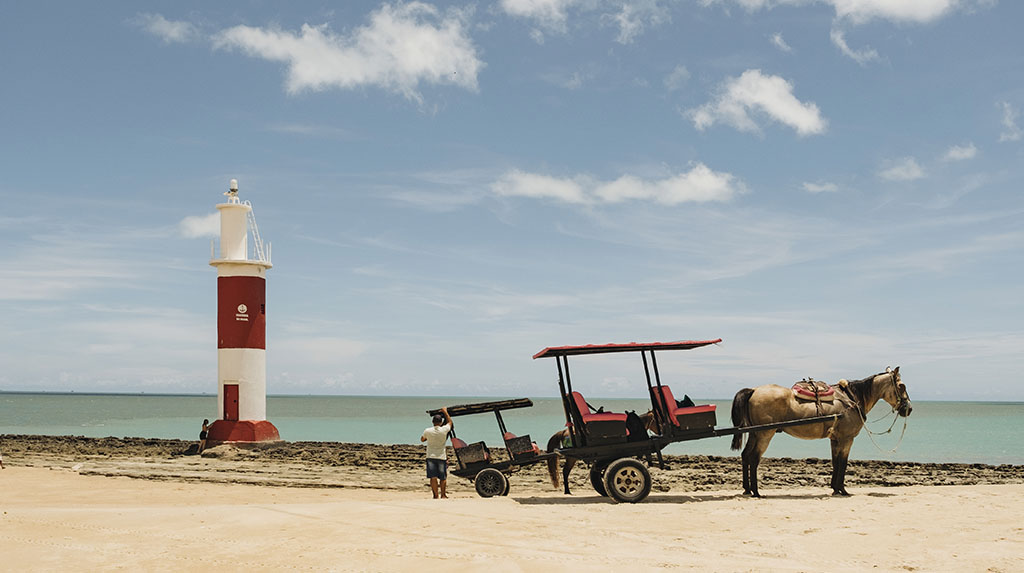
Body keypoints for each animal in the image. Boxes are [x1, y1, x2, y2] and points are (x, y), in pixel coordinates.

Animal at [729, 366, 913, 497]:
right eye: (901, 385)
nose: (909, 408)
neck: (851, 399)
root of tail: (754, 390)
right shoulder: (847, 439)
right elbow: (843, 462)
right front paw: (843, 490)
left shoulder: (835, 439)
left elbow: (836, 462)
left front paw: (835, 488)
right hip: (765, 434)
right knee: (754, 458)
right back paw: (756, 492)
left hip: (755, 433)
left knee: (746, 456)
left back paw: (747, 489)